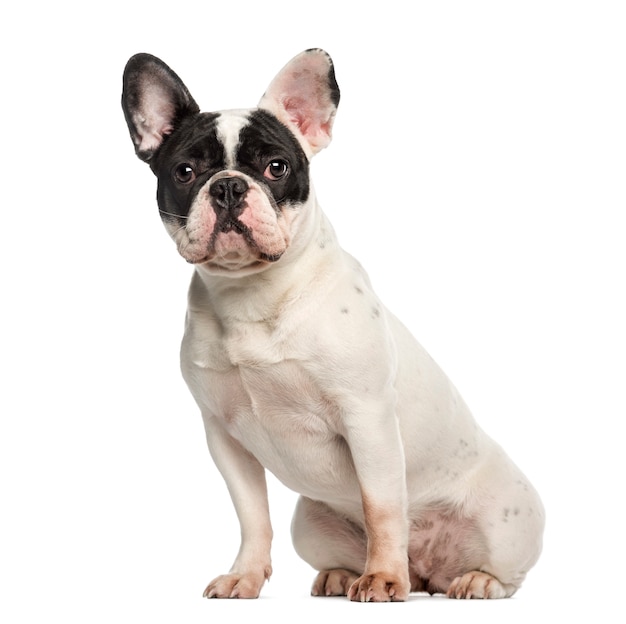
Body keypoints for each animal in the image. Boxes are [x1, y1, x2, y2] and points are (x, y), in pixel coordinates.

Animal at [122, 46, 540, 604]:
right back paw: (343, 574)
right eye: (186, 172)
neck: (253, 294)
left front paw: (383, 577)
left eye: (276, 167)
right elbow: (252, 516)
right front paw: (245, 576)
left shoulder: (367, 419)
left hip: (505, 521)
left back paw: (469, 580)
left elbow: (382, 507)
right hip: (309, 524)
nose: (229, 186)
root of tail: (427, 572)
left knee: (505, 573)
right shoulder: (225, 438)